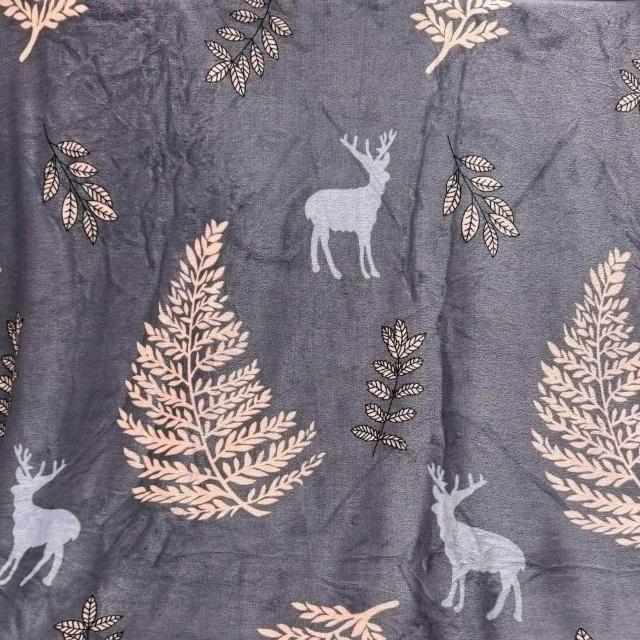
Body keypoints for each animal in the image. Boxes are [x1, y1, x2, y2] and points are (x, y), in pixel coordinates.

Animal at [0, 444, 81, 587]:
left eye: (27, 488)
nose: (13, 489)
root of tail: (77, 527)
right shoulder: (17, 539)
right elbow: (11, 557)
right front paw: (2, 577)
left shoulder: (25, 541)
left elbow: (16, 560)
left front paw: (4, 580)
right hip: (56, 541)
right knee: (55, 555)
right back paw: (42, 580)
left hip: (56, 538)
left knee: (53, 556)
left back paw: (37, 580)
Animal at [304, 129, 397, 280]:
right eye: (371, 170)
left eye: (382, 168)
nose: (386, 176)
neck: (371, 202)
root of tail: (307, 206)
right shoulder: (360, 225)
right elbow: (361, 247)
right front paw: (365, 273)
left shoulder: (368, 227)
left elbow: (368, 246)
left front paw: (375, 272)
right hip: (322, 220)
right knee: (323, 241)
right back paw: (336, 272)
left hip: (318, 222)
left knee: (314, 237)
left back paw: (316, 267)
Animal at [427, 464, 525, 622]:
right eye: (441, 503)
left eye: (453, 506)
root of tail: (523, 559)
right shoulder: (455, 562)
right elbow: (460, 580)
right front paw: (455, 606)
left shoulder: (469, 560)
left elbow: (456, 578)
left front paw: (448, 603)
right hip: (510, 570)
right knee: (516, 585)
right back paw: (517, 615)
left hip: (507, 568)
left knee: (506, 588)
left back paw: (492, 614)